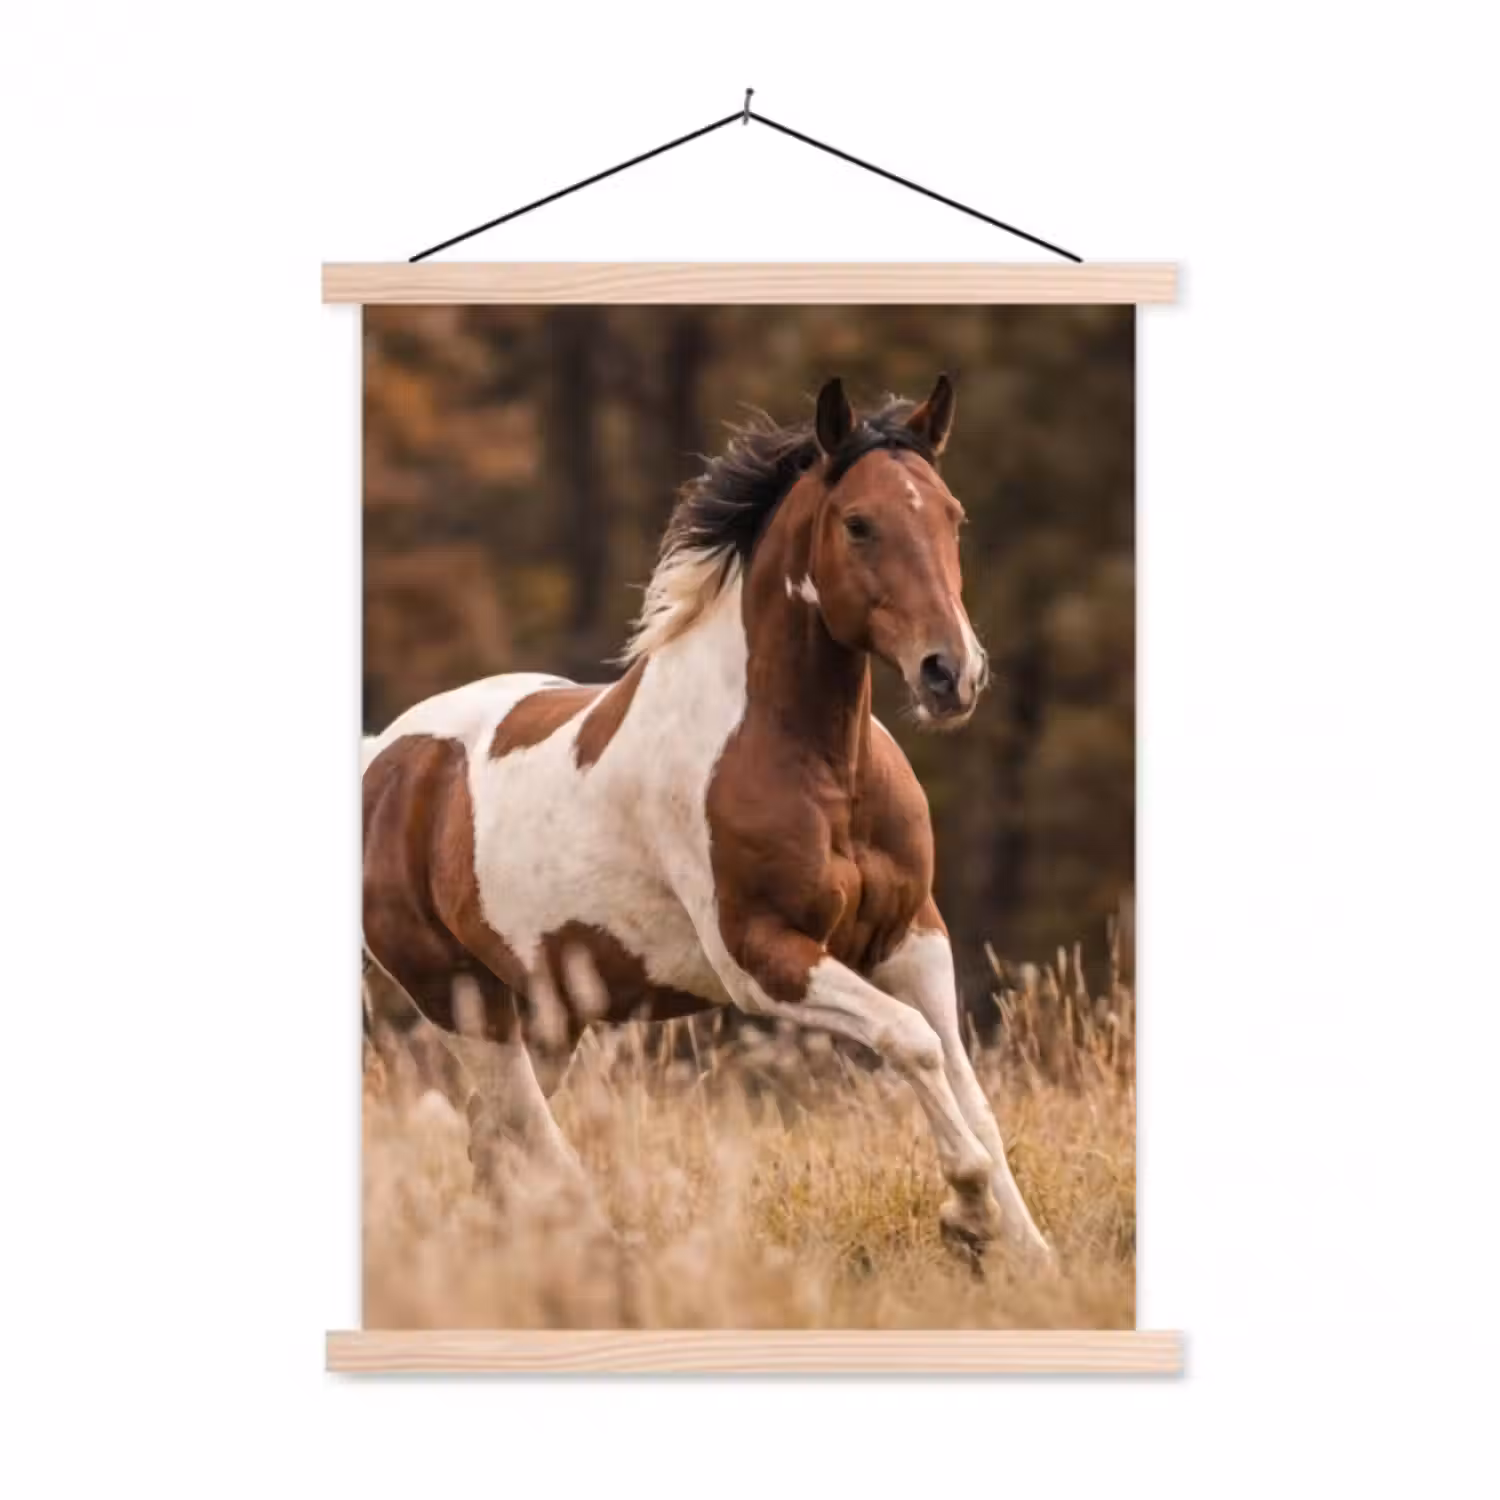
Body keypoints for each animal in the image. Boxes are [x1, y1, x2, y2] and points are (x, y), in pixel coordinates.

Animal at [362, 373, 1050, 1261]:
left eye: (951, 515)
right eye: (859, 523)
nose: (950, 674)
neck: (819, 766)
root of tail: (384, 756)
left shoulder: (912, 938)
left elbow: (971, 1092)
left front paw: (1031, 1256)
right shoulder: (761, 959)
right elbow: (911, 1042)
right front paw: (966, 1216)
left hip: (546, 1015)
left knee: (496, 1144)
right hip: (463, 1004)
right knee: (529, 1141)